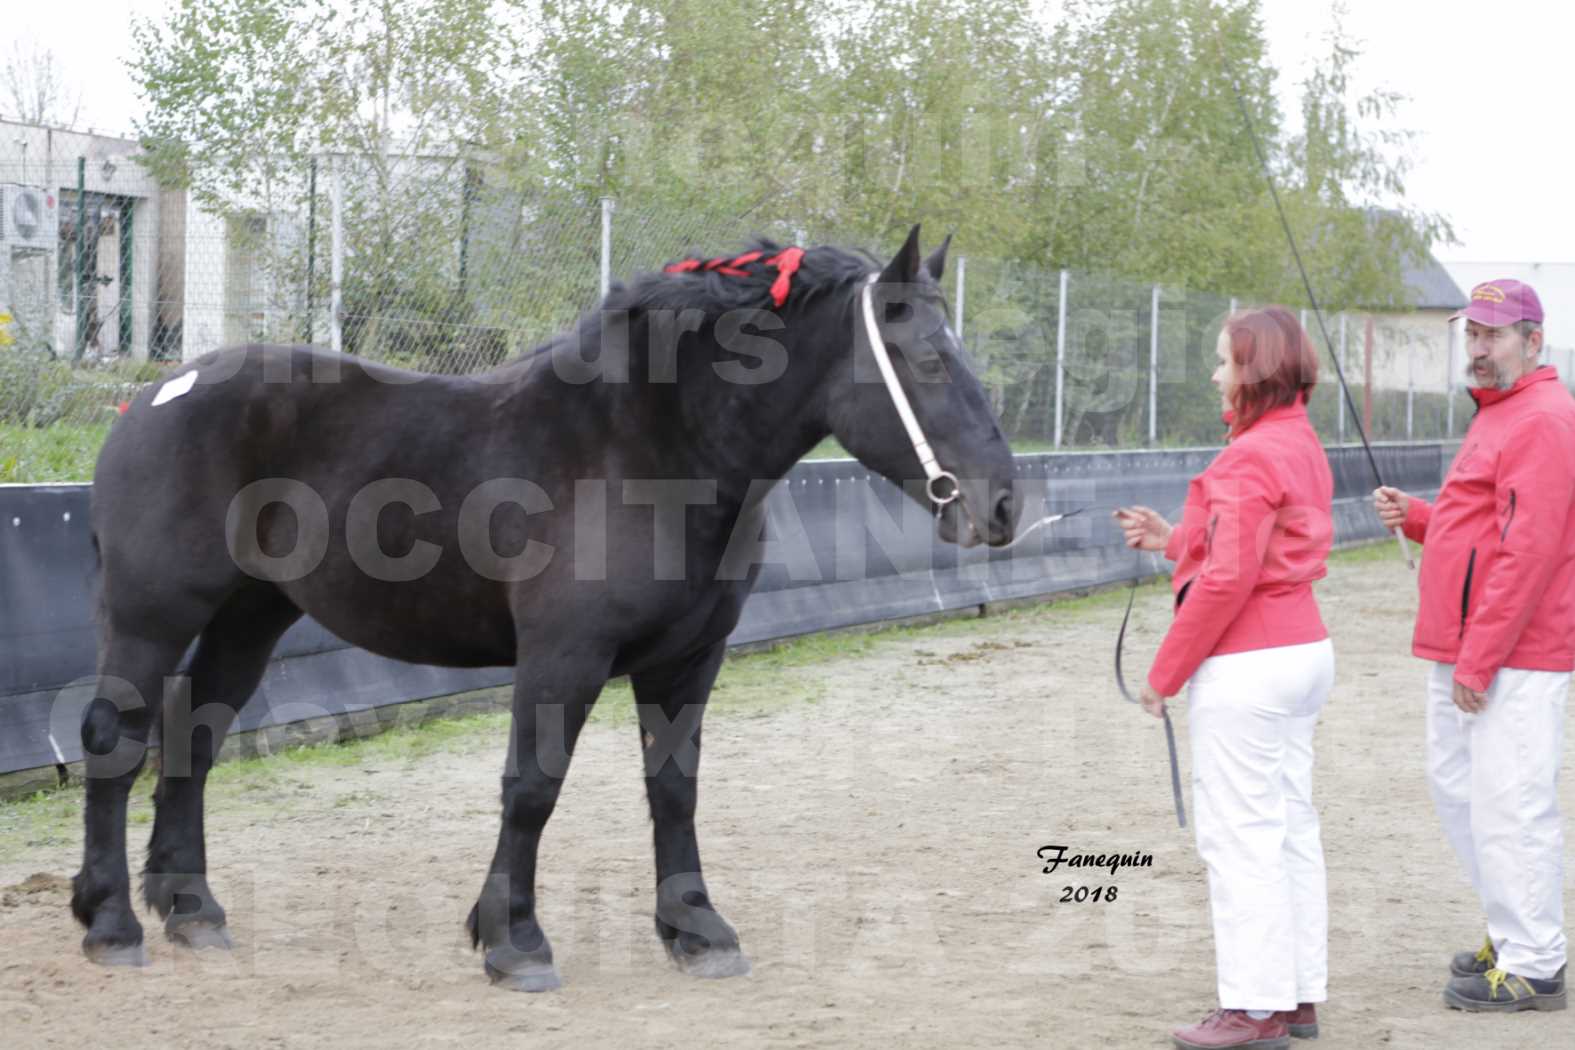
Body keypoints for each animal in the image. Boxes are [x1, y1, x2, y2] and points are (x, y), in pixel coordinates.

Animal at [76, 226, 1020, 988]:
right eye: (928, 360)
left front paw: (697, 931)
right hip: (152, 616)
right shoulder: (564, 656)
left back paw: (192, 910)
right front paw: (514, 942)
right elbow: (532, 787)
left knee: (195, 735)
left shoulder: (690, 660)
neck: (653, 450)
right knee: (116, 740)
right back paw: (111, 924)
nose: (1003, 505)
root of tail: (155, 394)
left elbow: (674, 788)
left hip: (251, 617)